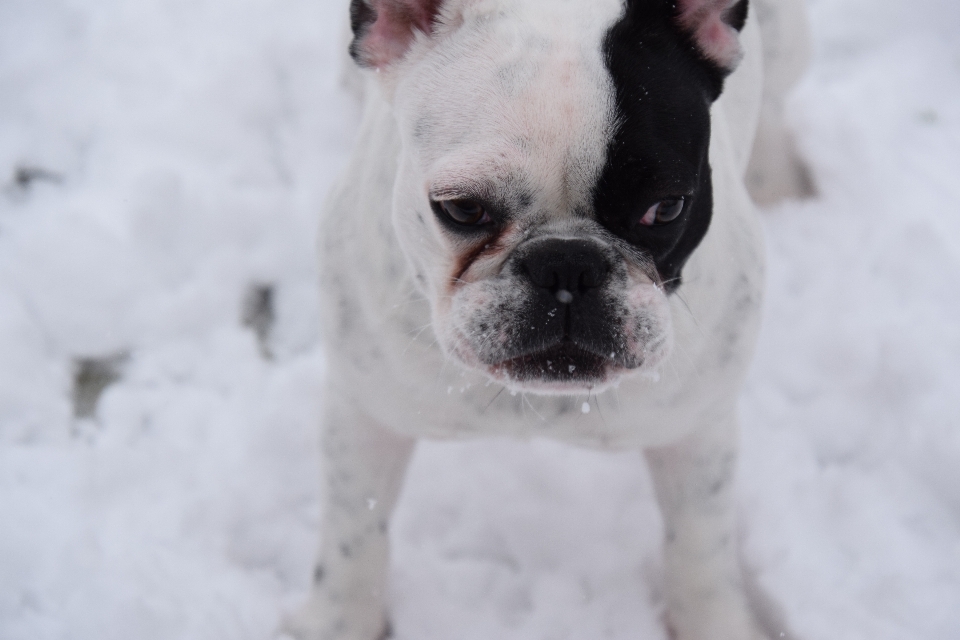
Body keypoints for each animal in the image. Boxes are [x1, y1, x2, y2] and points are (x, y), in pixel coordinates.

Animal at [286, 1, 808, 640]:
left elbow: (701, 546)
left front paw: (715, 623)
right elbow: (353, 536)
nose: (567, 264)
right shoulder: (366, 414)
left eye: (665, 208)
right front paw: (338, 624)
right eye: (461, 209)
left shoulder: (696, 429)